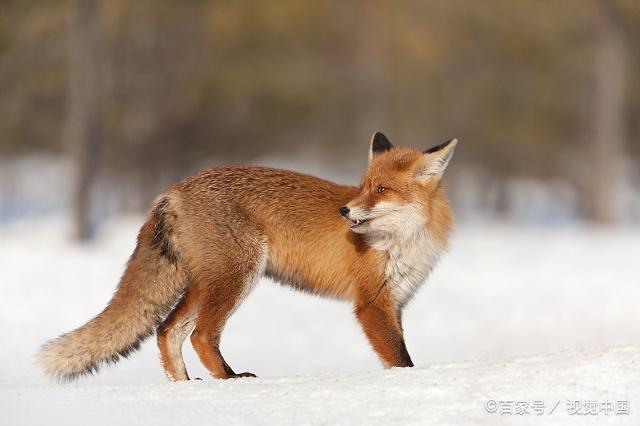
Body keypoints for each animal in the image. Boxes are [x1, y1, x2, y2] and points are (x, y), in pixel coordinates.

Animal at [38, 132, 456, 380]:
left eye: (380, 189)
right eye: (364, 186)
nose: (344, 211)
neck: (402, 240)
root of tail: (172, 191)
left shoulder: (395, 301)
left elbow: (395, 354)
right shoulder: (371, 303)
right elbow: (401, 358)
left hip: (205, 282)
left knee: (167, 331)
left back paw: (185, 387)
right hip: (237, 275)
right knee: (200, 334)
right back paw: (229, 379)